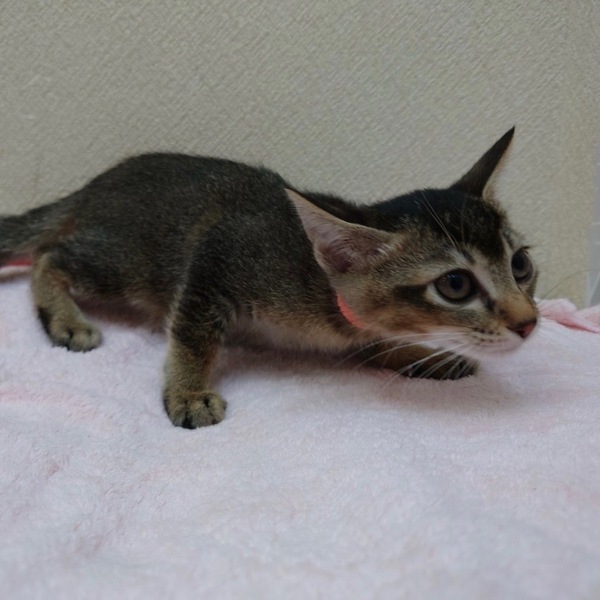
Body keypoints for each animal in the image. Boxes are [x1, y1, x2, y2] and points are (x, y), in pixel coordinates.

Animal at [0, 128, 538, 428]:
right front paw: (188, 393)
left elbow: (378, 343)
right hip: (129, 265)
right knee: (47, 255)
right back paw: (66, 320)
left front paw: (423, 355)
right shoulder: (220, 254)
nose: (529, 322)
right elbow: (193, 336)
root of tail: (94, 185)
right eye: (455, 285)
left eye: (521, 265)